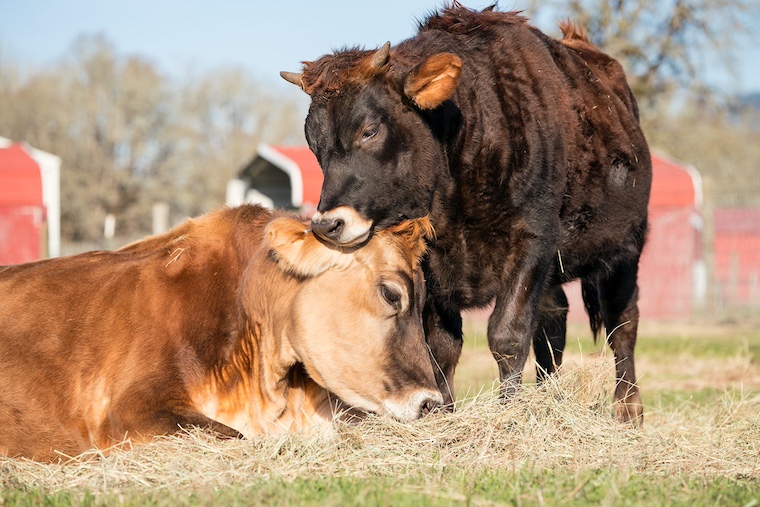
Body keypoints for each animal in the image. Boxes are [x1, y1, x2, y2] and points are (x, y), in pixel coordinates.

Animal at [280, 3, 652, 425]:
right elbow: (441, 345)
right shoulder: (431, 266)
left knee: (622, 324)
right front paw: (442, 414)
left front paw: (510, 417)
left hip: (626, 249)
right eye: (314, 142)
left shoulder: (533, 241)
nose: (328, 224)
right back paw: (551, 400)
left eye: (370, 130)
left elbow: (507, 335)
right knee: (553, 324)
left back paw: (627, 410)